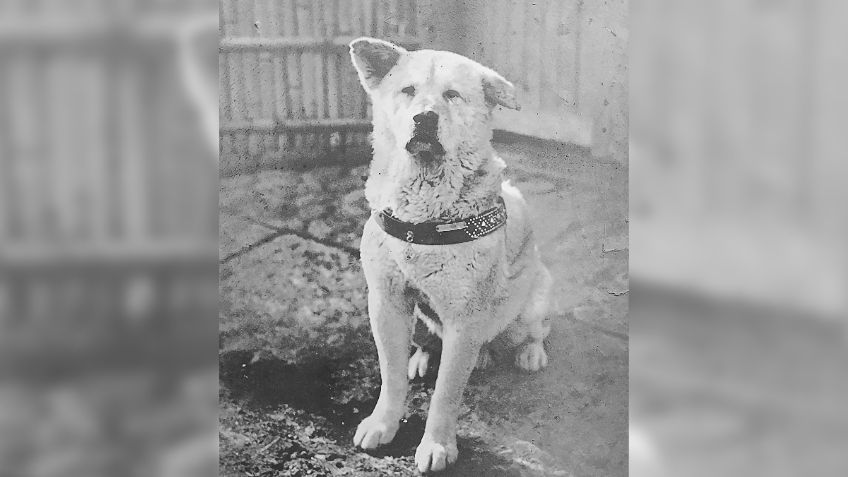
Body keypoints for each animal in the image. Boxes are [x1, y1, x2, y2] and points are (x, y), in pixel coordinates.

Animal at [348, 38, 552, 472]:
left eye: (452, 95)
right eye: (407, 90)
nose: (424, 118)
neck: (424, 212)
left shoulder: (465, 317)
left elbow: (446, 394)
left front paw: (438, 446)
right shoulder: (386, 302)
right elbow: (391, 375)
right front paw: (382, 423)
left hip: (533, 302)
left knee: (534, 331)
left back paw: (529, 353)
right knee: (428, 340)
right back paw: (426, 357)